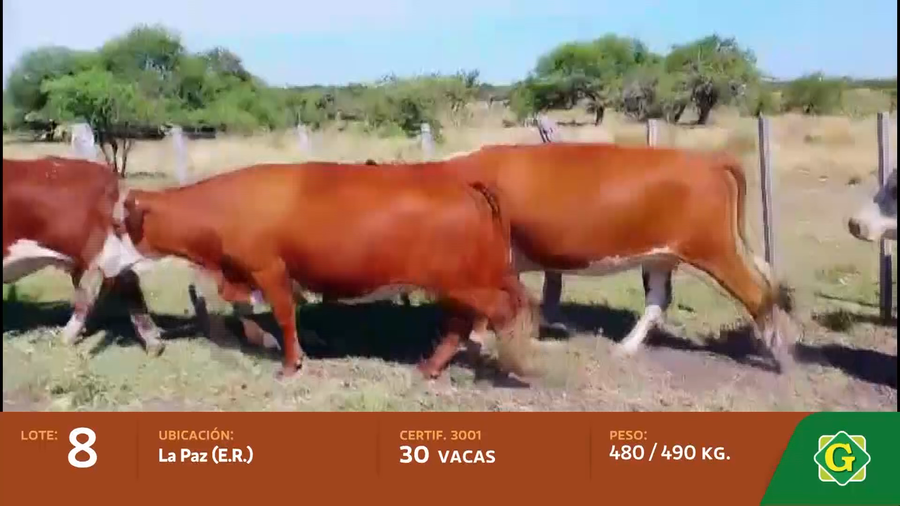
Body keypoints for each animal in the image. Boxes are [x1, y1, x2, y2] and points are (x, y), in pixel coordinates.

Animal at [3, 156, 164, 354]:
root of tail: (107, 175)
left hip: (95, 251)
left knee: (93, 290)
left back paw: (67, 335)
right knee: (125, 283)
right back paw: (152, 339)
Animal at [115, 163, 537, 379]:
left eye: (119, 225)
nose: (108, 266)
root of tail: (465, 184)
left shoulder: (269, 268)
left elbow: (284, 315)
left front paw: (290, 363)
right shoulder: (245, 274)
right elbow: (248, 312)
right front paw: (268, 342)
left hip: (461, 282)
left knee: (501, 312)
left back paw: (511, 364)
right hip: (458, 284)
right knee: (461, 323)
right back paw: (429, 367)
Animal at [363, 142, 797, 369]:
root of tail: (705, 159)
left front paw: (475, 340)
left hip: (714, 250)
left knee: (757, 294)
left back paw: (777, 353)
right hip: (662, 256)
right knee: (657, 302)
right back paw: (625, 347)